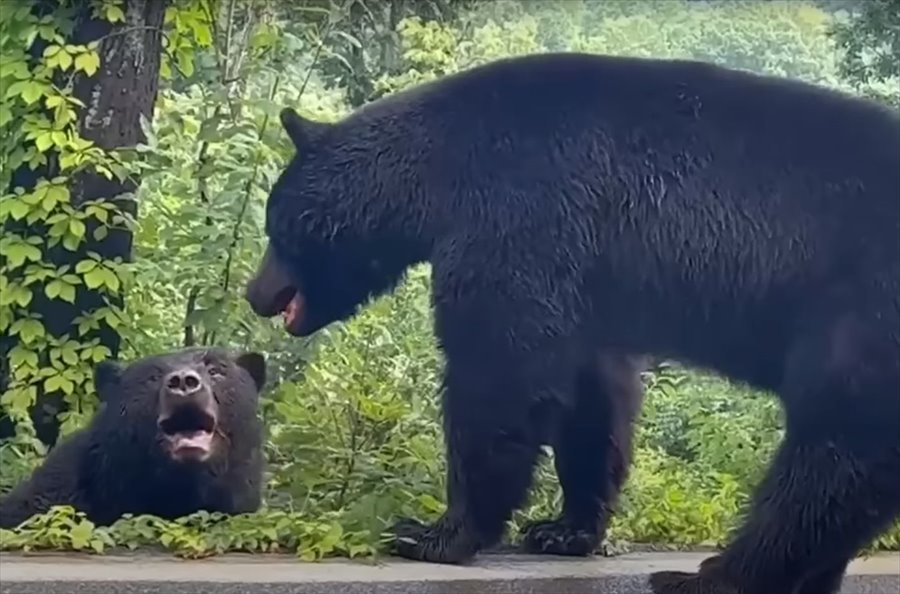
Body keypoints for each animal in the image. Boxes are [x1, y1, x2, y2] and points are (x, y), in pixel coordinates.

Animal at [244, 52, 900, 592]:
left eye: (276, 224)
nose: (256, 294)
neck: (435, 175)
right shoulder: (585, 279)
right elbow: (593, 396)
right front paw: (563, 528)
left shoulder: (517, 220)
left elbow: (499, 369)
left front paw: (433, 532)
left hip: (862, 313)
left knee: (836, 450)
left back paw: (717, 575)